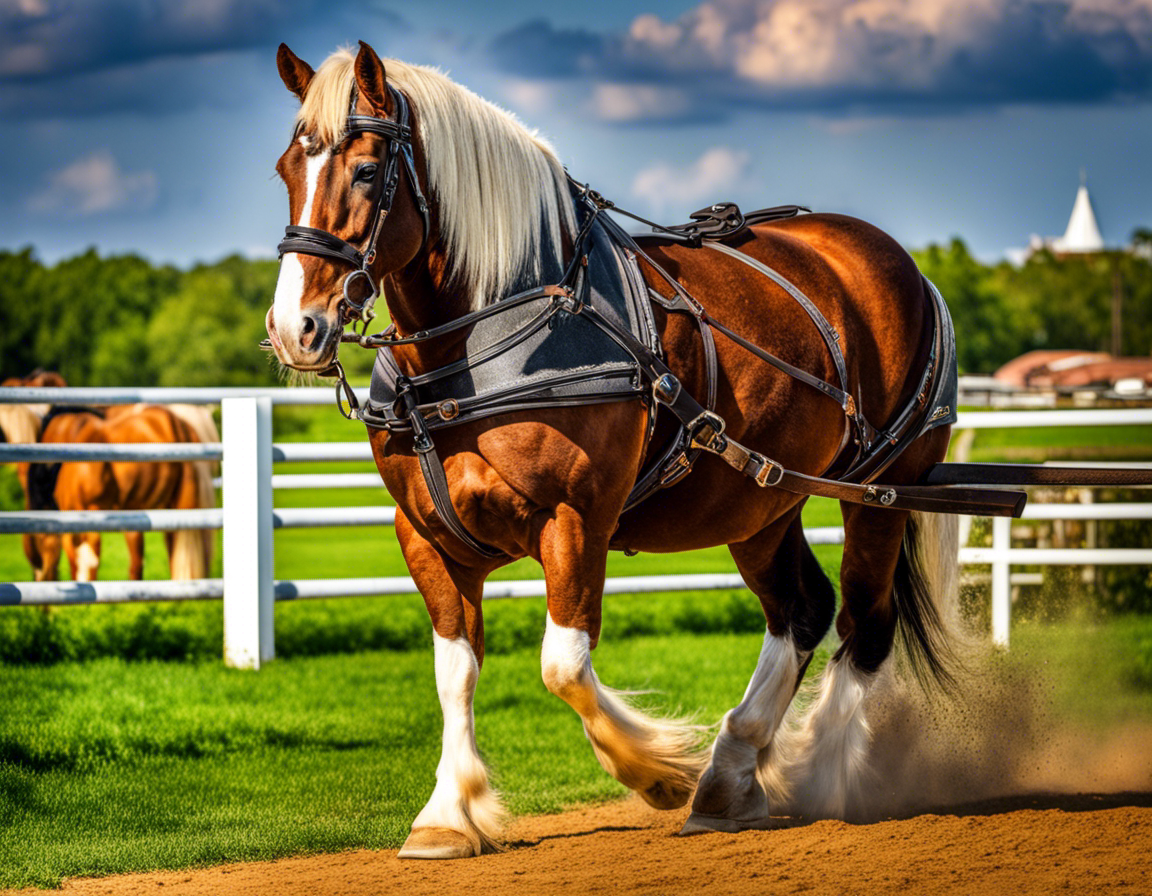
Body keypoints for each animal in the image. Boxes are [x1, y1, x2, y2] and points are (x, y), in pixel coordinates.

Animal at [266, 42, 962, 858]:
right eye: (287, 167)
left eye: (369, 171)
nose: (295, 328)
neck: (488, 337)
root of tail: (899, 262)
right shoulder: (427, 536)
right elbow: (454, 672)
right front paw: (445, 814)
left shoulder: (577, 520)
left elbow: (563, 666)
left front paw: (654, 771)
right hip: (761, 501)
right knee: (802, 610)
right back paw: (733, 772)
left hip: (884, 490)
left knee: (864, 620)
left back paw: (817, 775)